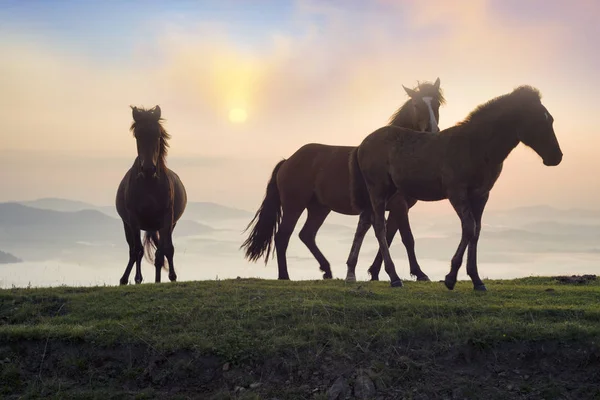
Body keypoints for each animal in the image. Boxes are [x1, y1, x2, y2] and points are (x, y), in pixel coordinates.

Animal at [113, 106, 186, 284]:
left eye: (157, 135)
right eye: (137, 135)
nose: (148, 169)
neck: (149, 184)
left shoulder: (167, 219)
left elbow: (165, 250)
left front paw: (169, 278)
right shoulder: (133, 219)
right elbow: (137, 251)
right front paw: (134, 278)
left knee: (162, 250)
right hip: (127, 225)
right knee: (134, 250)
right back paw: (130, 278)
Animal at [243, 76, 446, 280]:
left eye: (437, 103)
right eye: (416, 104)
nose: (432, 131)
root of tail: (287, 161)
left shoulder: (397, 208)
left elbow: (389, 237)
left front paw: (375, 272)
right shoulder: (399, 206)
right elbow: (406, 238)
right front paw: (419, 273)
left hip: (319, 208)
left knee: (307, 235)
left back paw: (326, 269)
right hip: (294, 205)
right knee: (283, 236)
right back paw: (285, 275)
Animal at [346, 86, 564, 290]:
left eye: (551, 119)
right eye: (538, 121)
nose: (556, 156)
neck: (476, 146)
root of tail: (362, 144)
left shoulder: (481, 195)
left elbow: (476, 231)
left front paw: (476, 280)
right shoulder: (457, 193)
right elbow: (468, 227)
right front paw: (451, 277)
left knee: (369, 223)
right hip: (378, 190)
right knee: (379, 227)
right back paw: (394, 277)